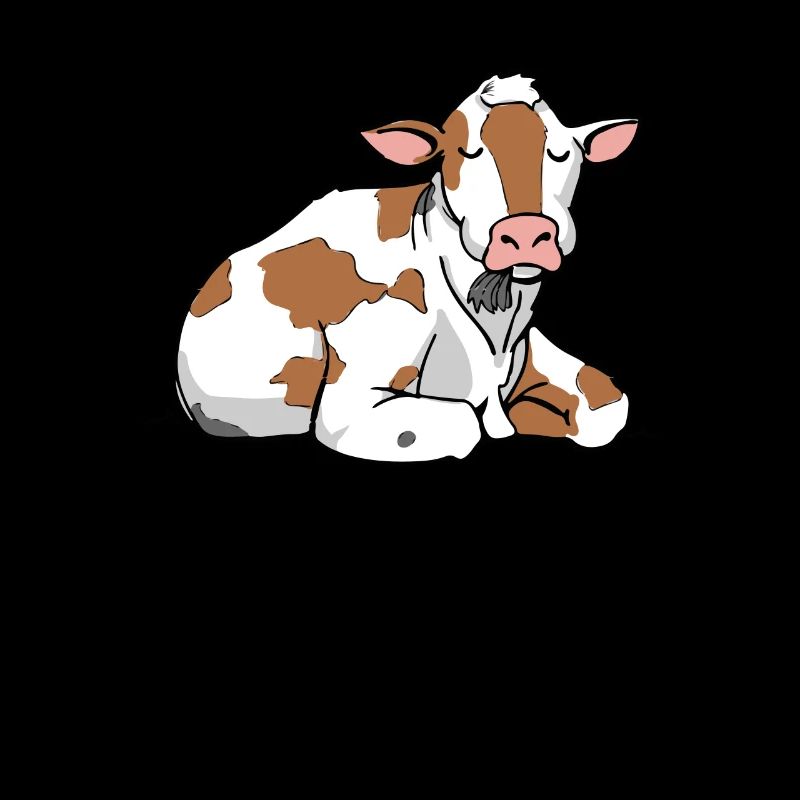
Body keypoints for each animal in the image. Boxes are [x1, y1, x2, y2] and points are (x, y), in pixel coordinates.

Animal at [177, 74, 637, 461]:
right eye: (464, 151)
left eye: (561, 152)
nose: (525, 233)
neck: (500, 322)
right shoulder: (351, 406)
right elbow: (466, 423)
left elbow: (609, 405)